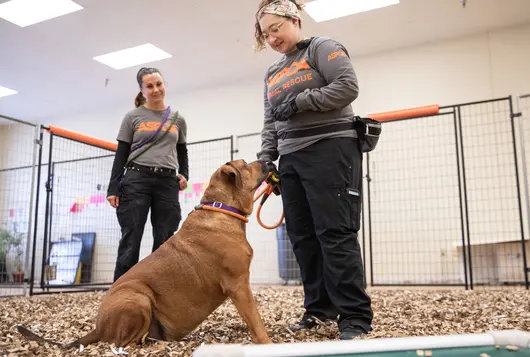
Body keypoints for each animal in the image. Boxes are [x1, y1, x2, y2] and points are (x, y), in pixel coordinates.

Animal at [16, 159, 272, 348]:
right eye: (245, 164)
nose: (268, 160)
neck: (221, 208)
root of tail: (98, 327)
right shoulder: (238, 284)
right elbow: (255, 320)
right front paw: (267, 343)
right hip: (138, 297)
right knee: (124, 345)